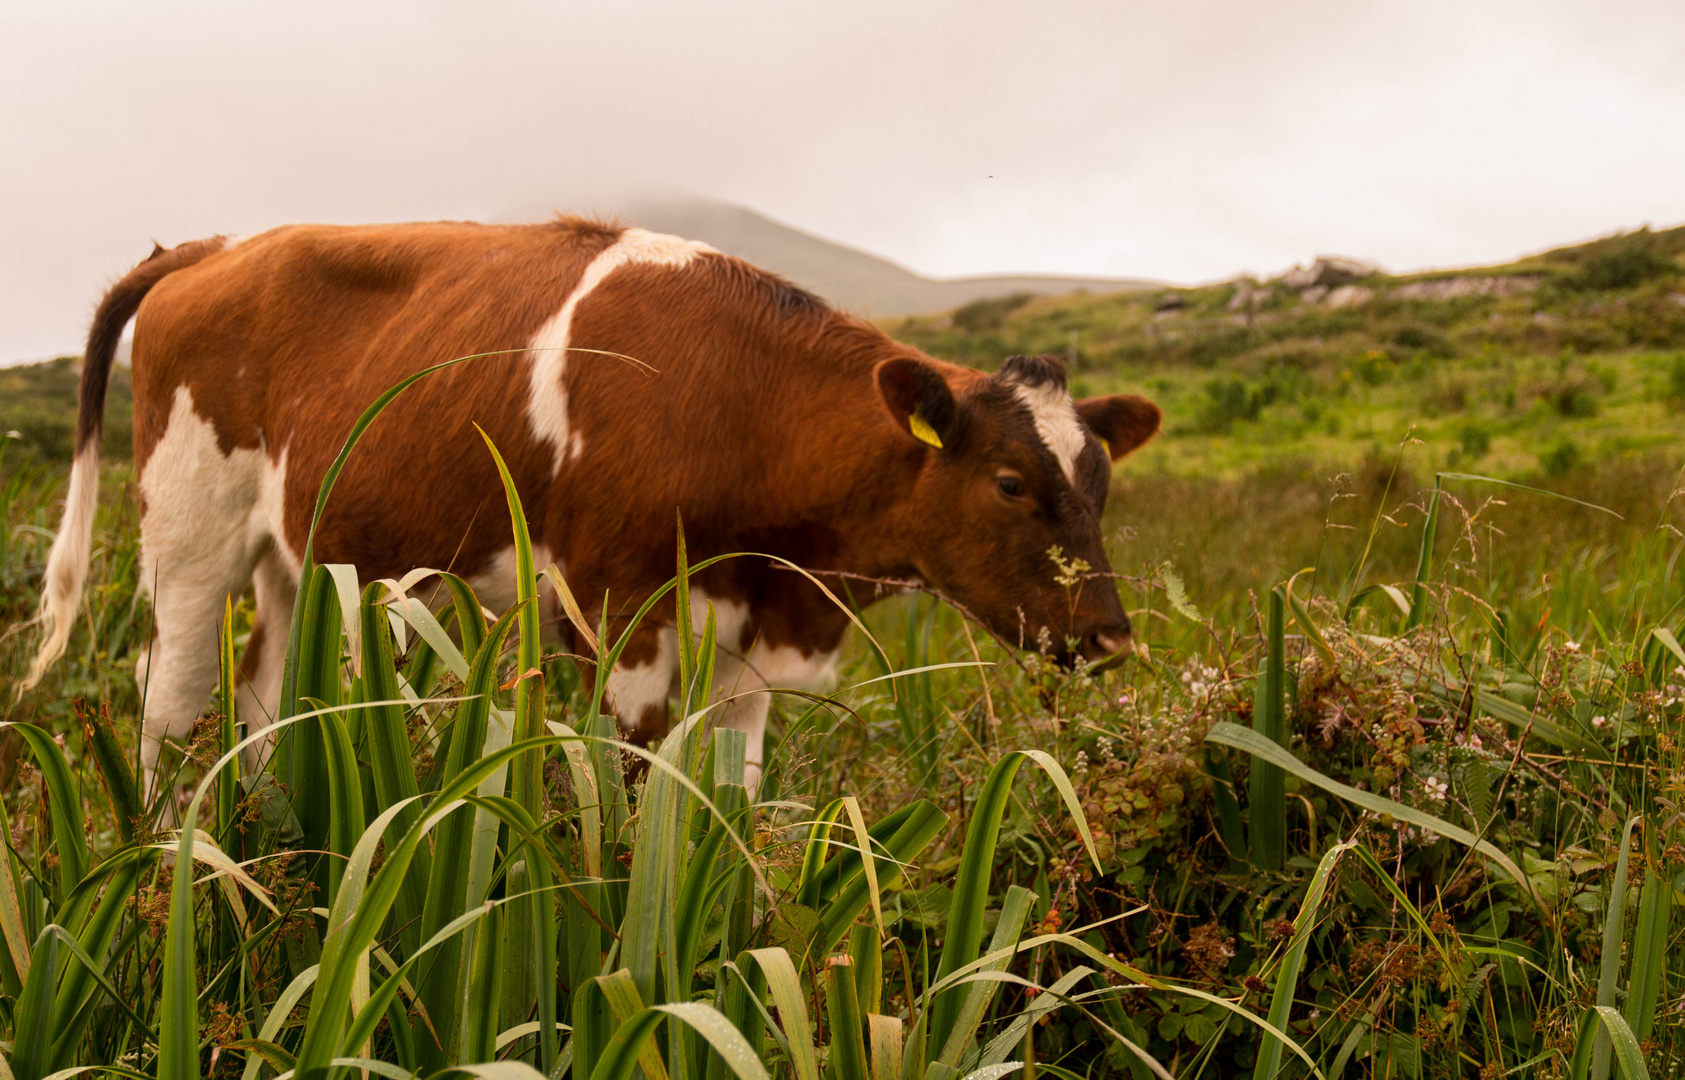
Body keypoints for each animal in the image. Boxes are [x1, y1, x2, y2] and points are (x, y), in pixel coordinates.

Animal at [23, 219, 1159, 791]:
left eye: (1102, 482)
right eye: (1009, 483)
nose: (1108, 637)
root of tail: (219, 246)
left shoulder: (755, 639)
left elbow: (726, 803)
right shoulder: (619, 617)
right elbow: (629, 790)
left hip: (298, 554)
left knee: (261, 695)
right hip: (188, 530)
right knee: (169, 695)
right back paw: (173, 866)